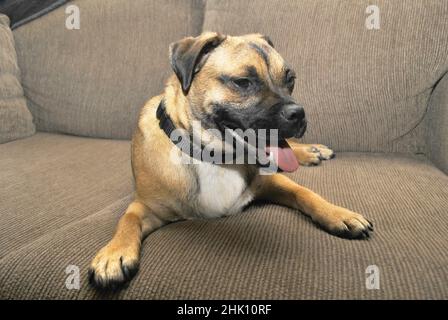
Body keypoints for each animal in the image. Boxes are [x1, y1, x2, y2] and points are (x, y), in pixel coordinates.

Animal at [87, 32, 372, 290]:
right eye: (243, 82)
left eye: (290, 80)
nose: (299, 114)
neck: (216, 157)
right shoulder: (146, 207)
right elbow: (127, 220)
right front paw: (113, 254)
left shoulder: (272, 181)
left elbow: (306, 193)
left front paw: (338, 214)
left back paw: (313, 151)